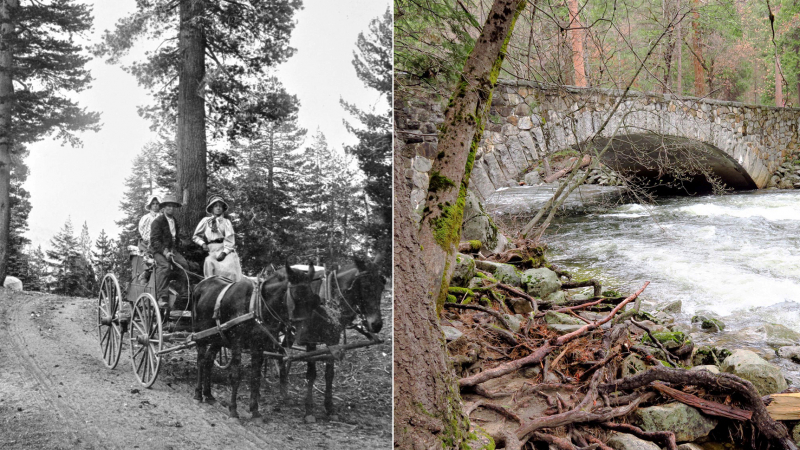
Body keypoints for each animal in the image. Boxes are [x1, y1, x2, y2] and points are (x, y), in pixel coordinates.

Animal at [192, 262, 320, 420]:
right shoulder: (237, 342)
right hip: (201, 335)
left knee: (209, 361)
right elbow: (235, 375)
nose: (306, 333)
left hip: (218, 337)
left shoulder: (257, 345)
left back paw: (208, 394)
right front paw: (233, 409)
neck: (256, 306)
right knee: (201, 361)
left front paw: (255, 410)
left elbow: (256, 377)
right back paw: (198, 393)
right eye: (296, 297)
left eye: (313, 299)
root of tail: (199, 285)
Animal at [282, 255, 388, 424]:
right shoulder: (310, 339)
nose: (376, 324)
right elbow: (311, 373)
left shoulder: (333, 340)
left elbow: (329, 374)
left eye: (381, 286)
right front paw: (309, 410)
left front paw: (330, 408)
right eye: (364, 287)